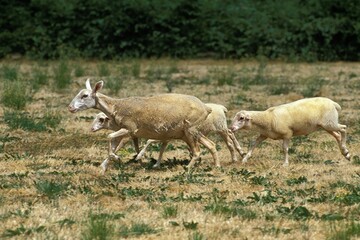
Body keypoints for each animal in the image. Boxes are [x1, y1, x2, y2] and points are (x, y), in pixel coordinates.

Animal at [68, 79, 218, 171]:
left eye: (85, 95)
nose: (70, 108)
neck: (116, 106)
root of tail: (206, 108)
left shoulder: (129, 129)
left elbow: (110, 137)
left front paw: (117, 159)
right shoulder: (127, 132)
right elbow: (115, 145)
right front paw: (104, 167)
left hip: (190, 130)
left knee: (197, 151)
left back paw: (187, 168)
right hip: (189, 133)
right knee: (211, 145)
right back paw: (217, 166)